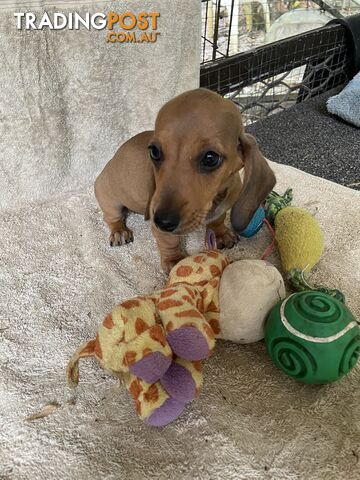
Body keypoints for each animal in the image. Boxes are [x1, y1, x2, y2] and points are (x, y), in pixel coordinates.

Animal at [94, 88, 274, 272]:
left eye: (210, 158)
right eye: (154, 151)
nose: (162, 221)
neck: (213, 199)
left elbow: (218, 219)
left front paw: (220, 233)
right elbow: (169, 240)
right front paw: (174, 260)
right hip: (110, 200)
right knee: (111, 218)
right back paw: (119, 231)